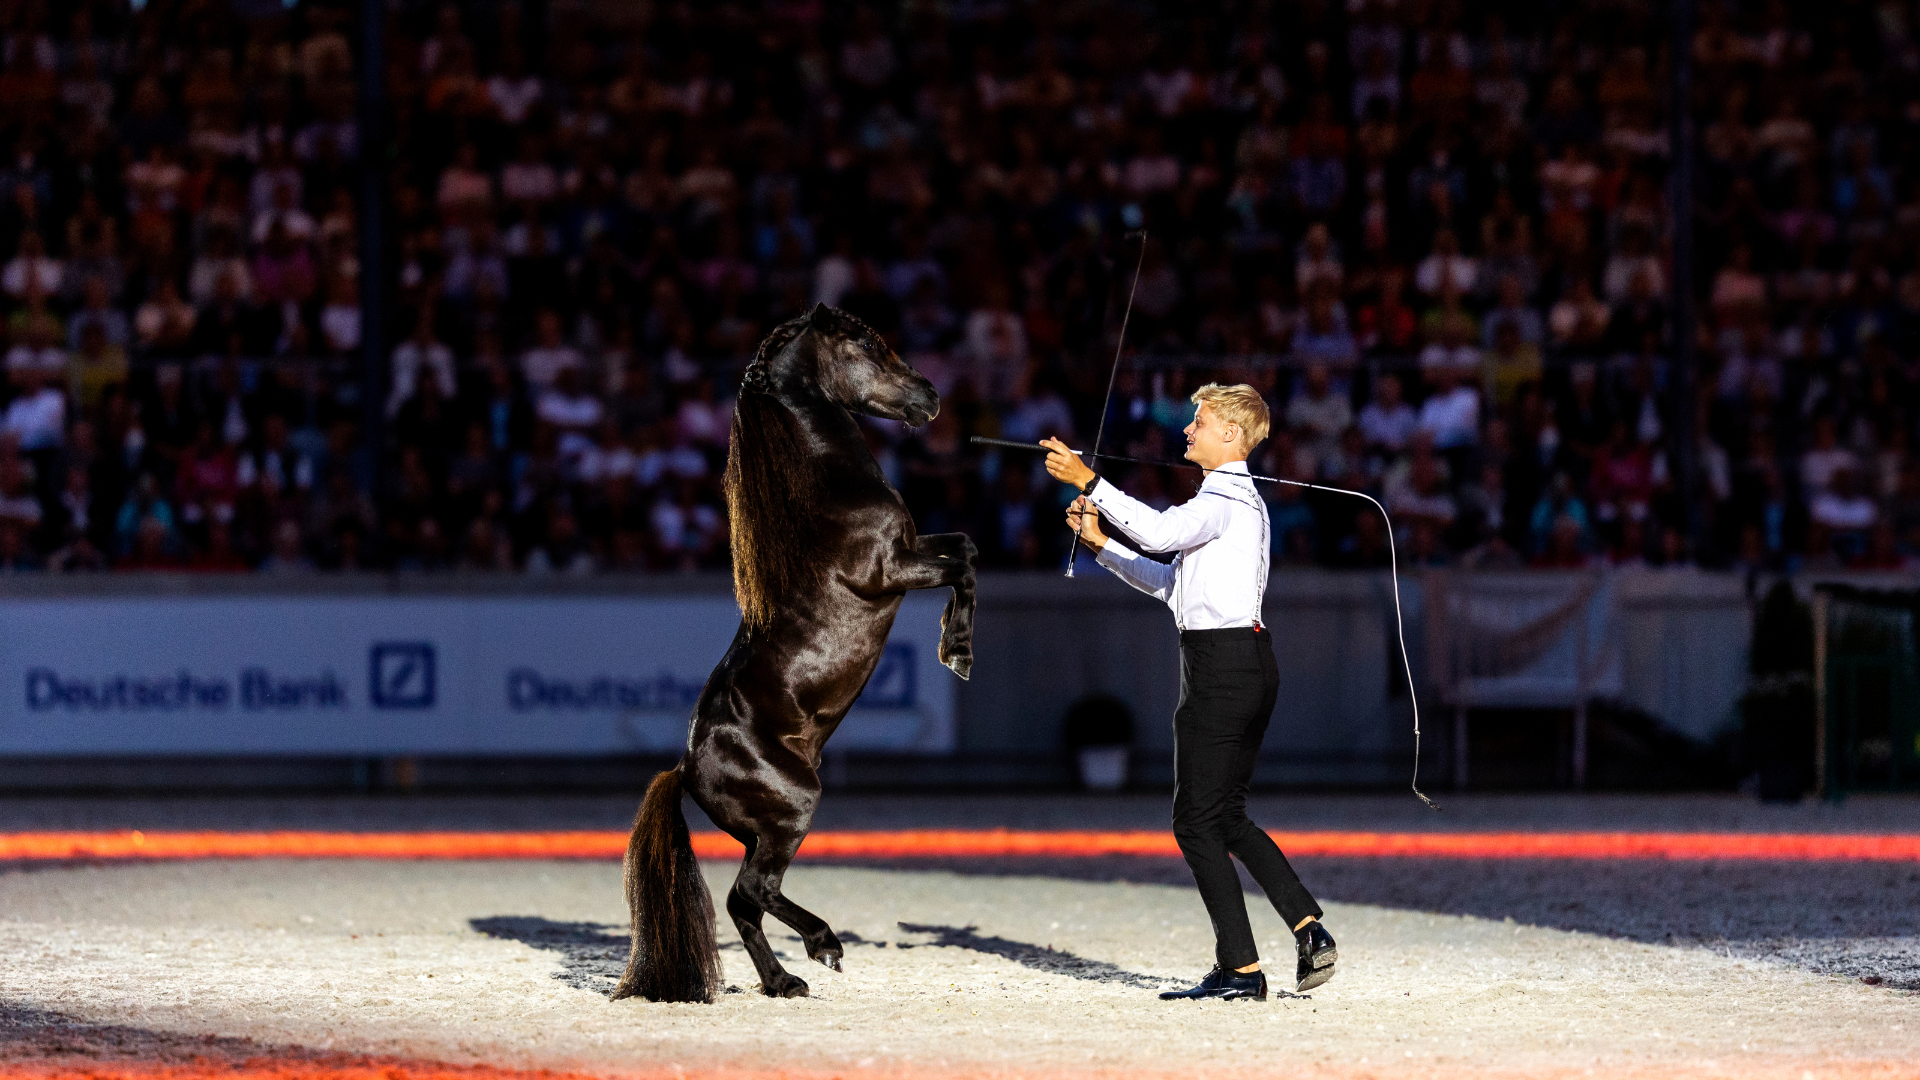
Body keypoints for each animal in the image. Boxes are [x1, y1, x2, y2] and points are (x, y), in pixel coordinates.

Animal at [614, 297, 975, 999]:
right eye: (867, 344)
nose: (930, 396)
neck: (832, 491)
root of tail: (687, 767)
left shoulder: (915, 549)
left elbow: (965, 545)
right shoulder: (892, 569)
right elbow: (966, 564)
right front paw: (959, 651)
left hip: (762, 833)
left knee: (744, 902)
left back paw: (785, 981)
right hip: (793, 810)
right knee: (754, 892)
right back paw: (822, 946)